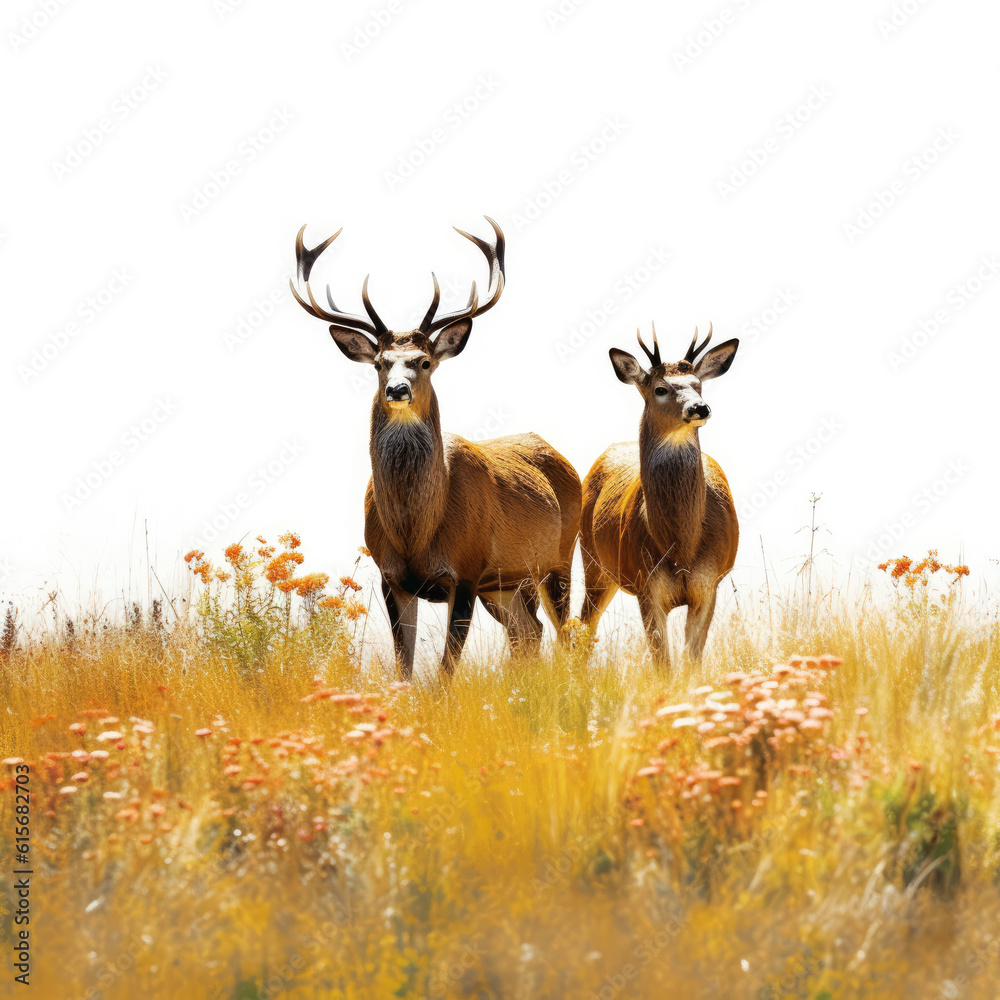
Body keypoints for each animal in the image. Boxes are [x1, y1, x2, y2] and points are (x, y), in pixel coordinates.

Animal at [290, 215, 584, 676]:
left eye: (424, 362)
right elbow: (405, 667)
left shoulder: (465, 571)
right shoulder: (391, 576)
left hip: (559, 557)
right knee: (528, 632)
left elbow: (446, 670)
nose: (397, 390)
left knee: (564, 632)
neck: (416, 532)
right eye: (380, 363)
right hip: (505, 583)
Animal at [580, 324, 744, 664]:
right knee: (582, 627)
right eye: (660, 389)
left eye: (698, 385)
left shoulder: (709, 584)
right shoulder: (647, 586)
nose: (699, 408)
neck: (680, 546)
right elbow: (663, 664)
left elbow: (691, 661)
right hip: (592, 560)